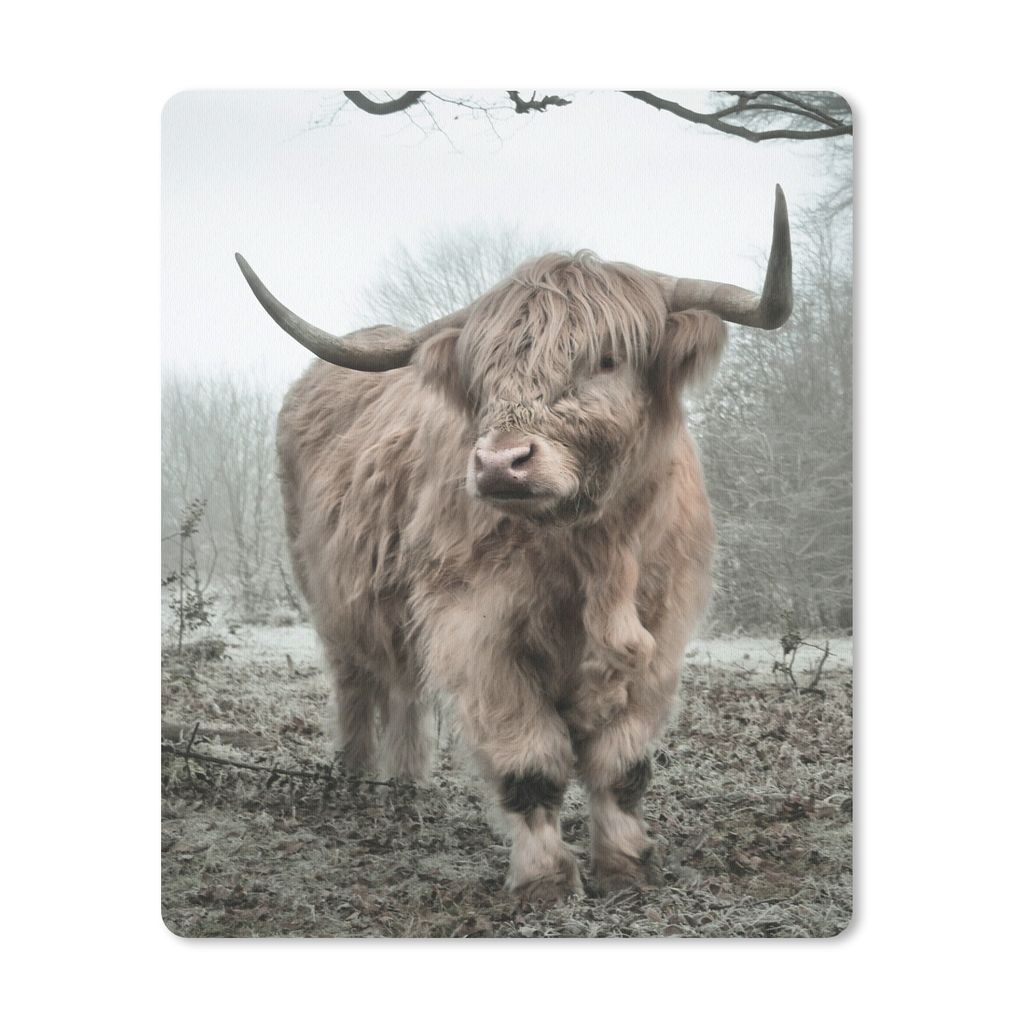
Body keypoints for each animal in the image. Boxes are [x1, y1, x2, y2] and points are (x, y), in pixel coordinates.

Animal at [235, 187, 792, 902]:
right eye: (485, 373)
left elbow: (622, 765)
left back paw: (406, 787)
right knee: (358, 685)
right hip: (331, 600)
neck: (594, 555)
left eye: (606, 359)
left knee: (406, 691)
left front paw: (628, 865)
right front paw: (545, 880)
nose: (501, 464)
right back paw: (358, 782)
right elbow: (531, 762)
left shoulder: (661, 635)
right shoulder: (476, 633)